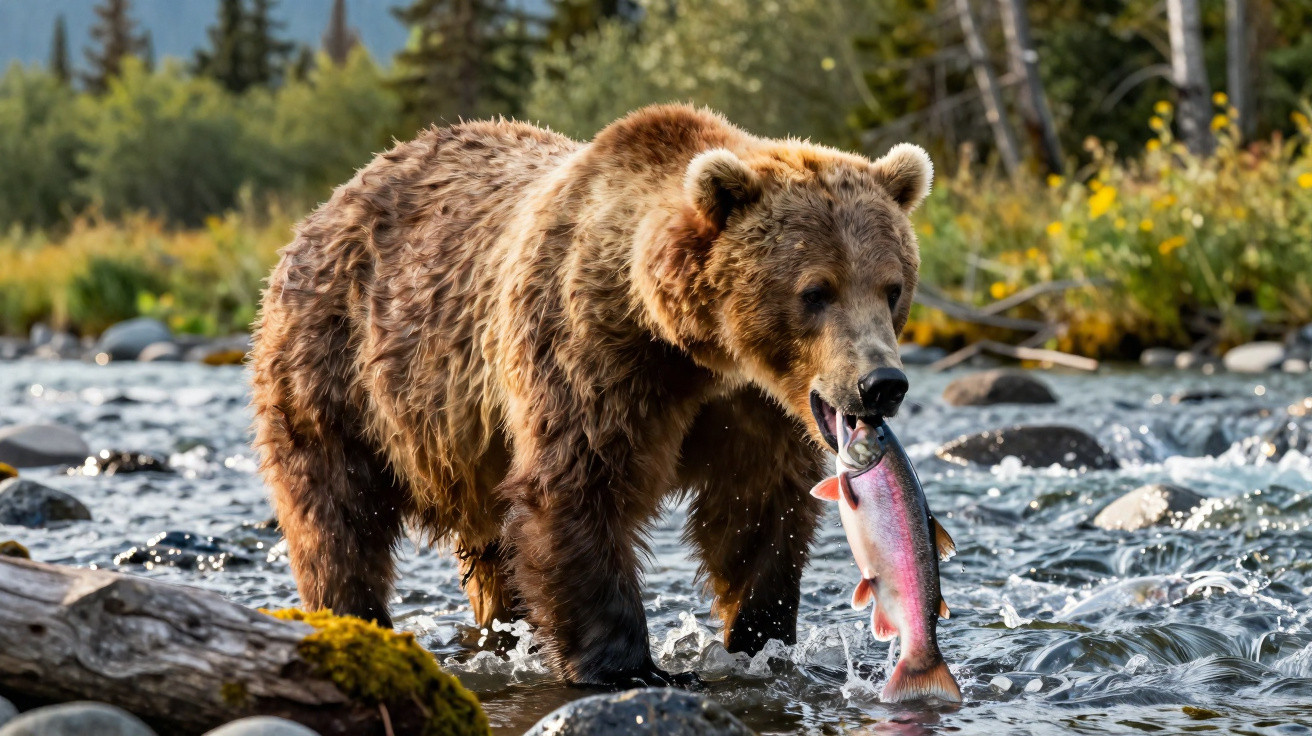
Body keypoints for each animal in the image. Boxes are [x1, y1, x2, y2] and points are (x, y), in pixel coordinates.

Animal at [249, 104, 932, 687]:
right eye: (816, 291)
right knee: (337, 520)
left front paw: (758, 639)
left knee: (491, 551)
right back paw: (355, 618)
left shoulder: (750, 410)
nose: (881, 383)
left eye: (892, 286)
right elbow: (577, 490)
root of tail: (333, 200)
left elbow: (755, 512)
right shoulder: (594, 355)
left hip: (465, 448)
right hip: (338, 371)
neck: (695, 348)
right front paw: (632, 667)